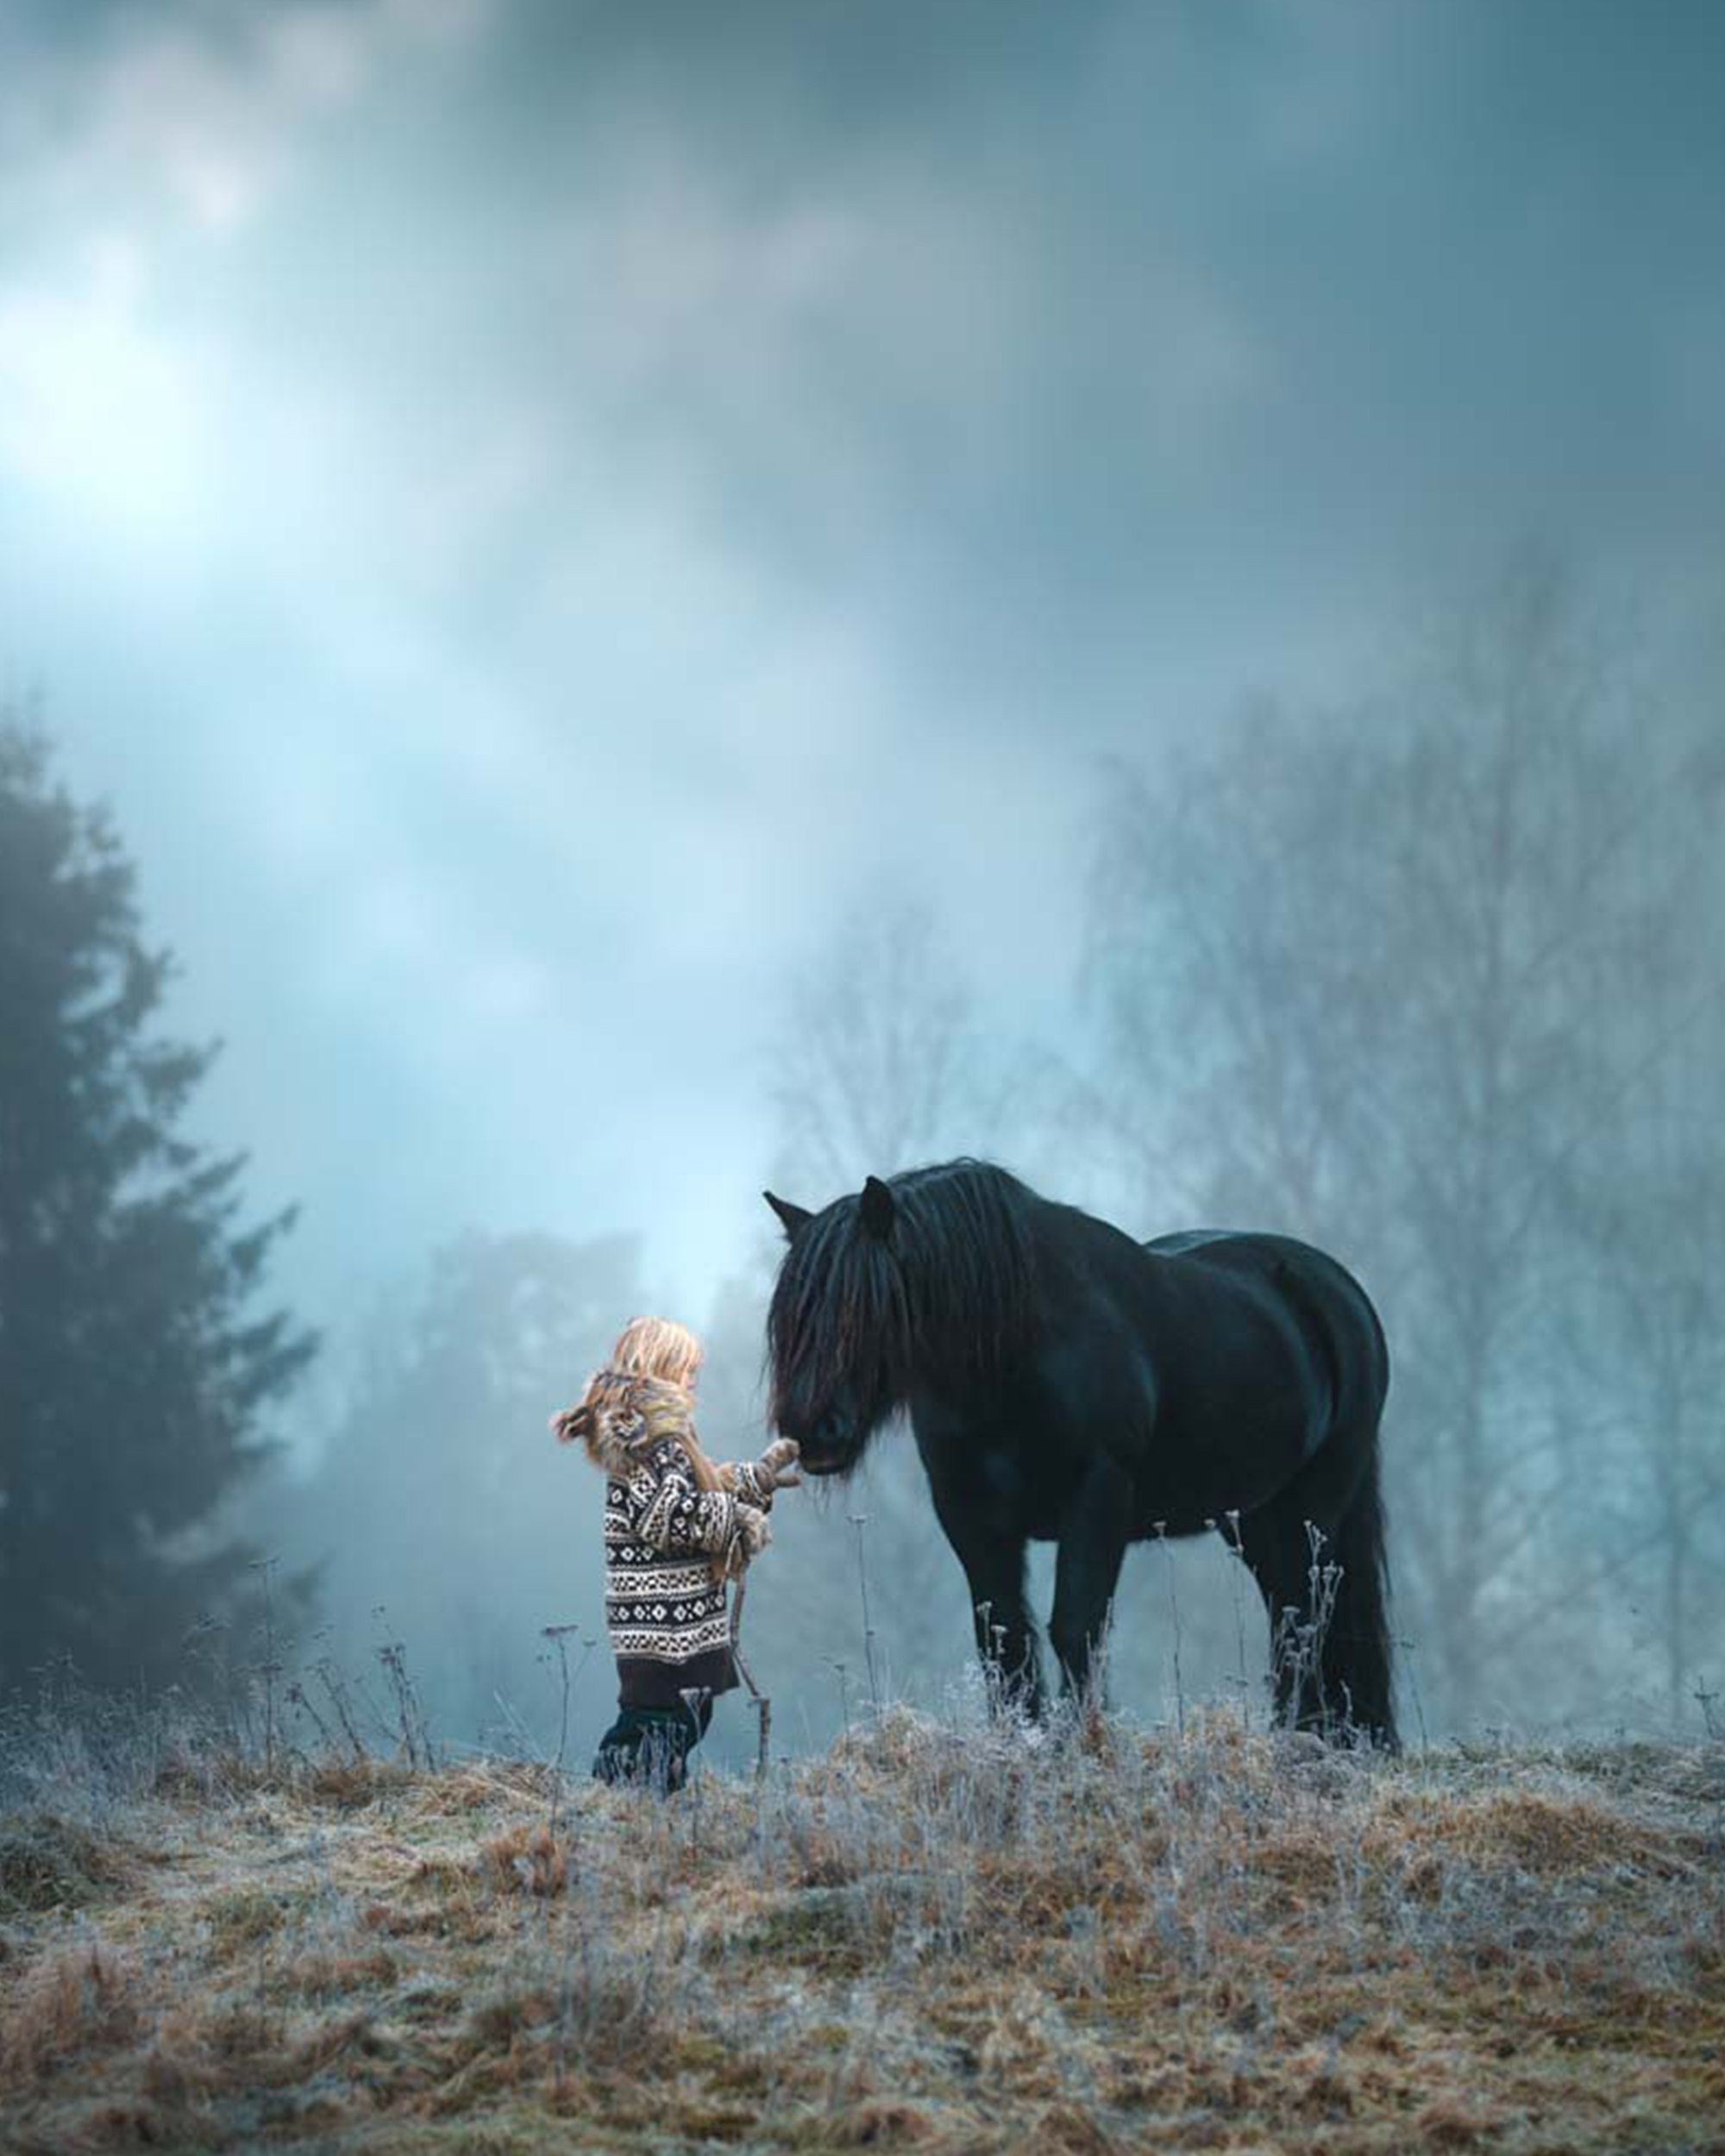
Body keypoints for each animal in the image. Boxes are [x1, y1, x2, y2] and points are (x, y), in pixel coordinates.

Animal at [763, 1158, 1396, 1745]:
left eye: (867, 1306)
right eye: (792, 1317)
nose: (813, 1431)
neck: (1014, 1358)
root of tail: (1338, 1291)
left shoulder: (1097, 1499)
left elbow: (1075, 1628)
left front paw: (1082, 1746)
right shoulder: (970, 1517)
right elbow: (1005, 1641)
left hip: (1313, 1508)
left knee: (1304, 1622)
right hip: (1256, 1518)